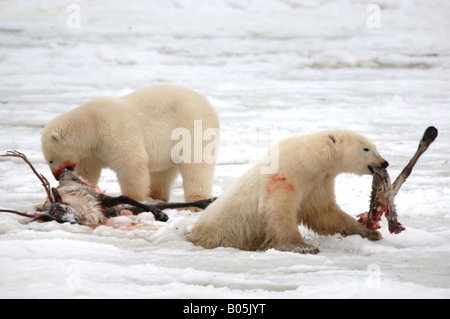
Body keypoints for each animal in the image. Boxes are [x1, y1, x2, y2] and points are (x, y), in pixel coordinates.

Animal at [41, 85, 221, 202]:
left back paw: (196, 200)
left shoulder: (113, 128)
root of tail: (208, 104)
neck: (91, 125)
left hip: (191, 127)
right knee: (162, 172)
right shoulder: (93, 151)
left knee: (196, 164)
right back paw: (156, 195)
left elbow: (131, 161)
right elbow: (87, 171)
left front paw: (131, 197)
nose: (56, 176)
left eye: (51, 160)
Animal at [187, 130, 390, 255]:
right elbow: (280, 212)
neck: (308, 159)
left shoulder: (318, 183)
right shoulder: (284, 176)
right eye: (366, 148)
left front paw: (370, 232)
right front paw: (304, 247)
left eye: (376, 147)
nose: (384, 163)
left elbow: (325, 213)